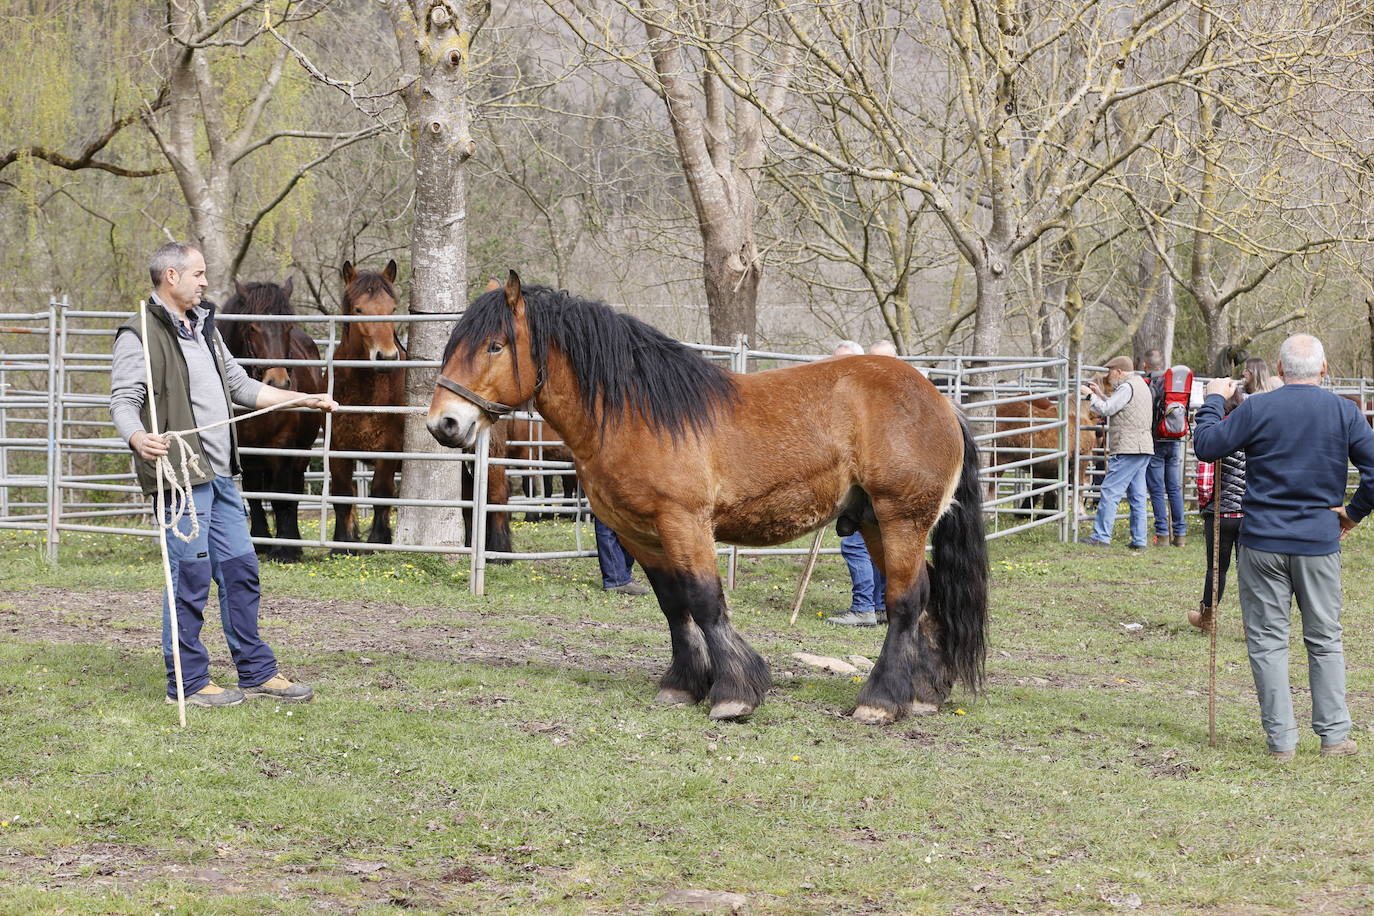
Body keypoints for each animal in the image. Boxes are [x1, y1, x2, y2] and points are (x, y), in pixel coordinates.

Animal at [222, 276, 324, 563]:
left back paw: (294, 542)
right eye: (252, 327)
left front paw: (285, 549)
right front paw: (260, 542)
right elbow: (254, 496)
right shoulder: (245, 451)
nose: (277, 382)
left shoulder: (283, 447)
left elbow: (280, 496)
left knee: (293, 492)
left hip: (301, 451)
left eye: (288, 326)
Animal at [331, 259, 406, 543]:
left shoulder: (389, 449)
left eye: (393, 309)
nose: (387, 358)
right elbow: (342, 494)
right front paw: (343, 542)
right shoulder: (337, 448)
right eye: (358, 309)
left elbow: (381, 492)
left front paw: (378, 539)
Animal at [428, 271, 989, 725]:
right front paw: (682, 684)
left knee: (904, 601)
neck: (638, 412)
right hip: (875, 520)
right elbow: (673, 604)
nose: (444, 424)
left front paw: (735, 693)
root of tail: (941, 401)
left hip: (901, 518)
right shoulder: (641, 532)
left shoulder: (684, 522)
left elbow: (704, 600)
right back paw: (924, 692)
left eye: (495, 346)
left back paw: (880, 701)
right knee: (926, 593)